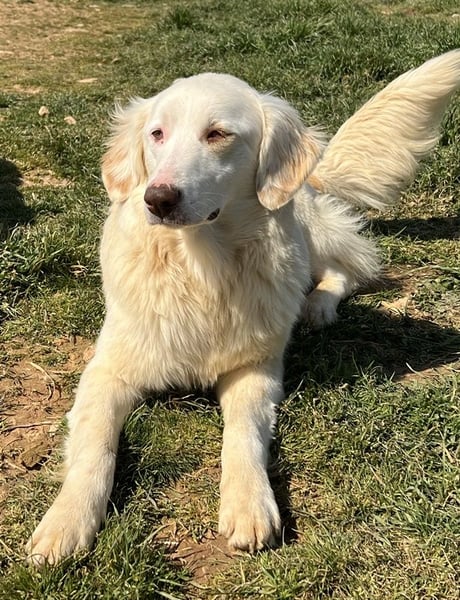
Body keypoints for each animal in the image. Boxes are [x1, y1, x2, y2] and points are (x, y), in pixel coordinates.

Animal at [26, 50, 460, 565]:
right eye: (157, 134)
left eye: (217, 134)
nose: (157, 197)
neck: (200, 269)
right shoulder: (106, 370)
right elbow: (95, 446)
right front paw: (65, 521)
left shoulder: (254, 368)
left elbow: (243, 434)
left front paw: (249, 502)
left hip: (310, 234)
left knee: (346, 269)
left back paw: (317, 307)